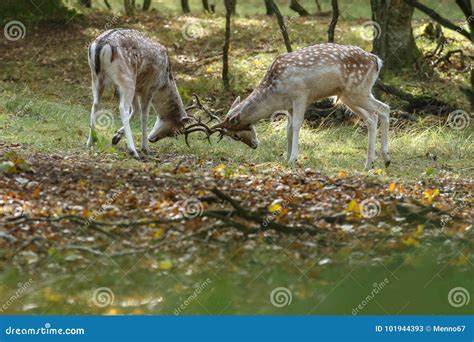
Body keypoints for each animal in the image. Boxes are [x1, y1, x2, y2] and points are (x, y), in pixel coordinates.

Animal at [213, 43, 390, 170]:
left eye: (235, 135)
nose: (254, 145)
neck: (275, 94)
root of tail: (377, 60)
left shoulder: (300, 95)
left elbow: (297, 125)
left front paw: (293, 158)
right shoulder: (289, 106)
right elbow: (288, 129)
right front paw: (286, 157)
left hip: (358, 90)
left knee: (384, 109)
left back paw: (386, 159)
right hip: (348, 96)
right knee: (371, 118)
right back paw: (369, 164)